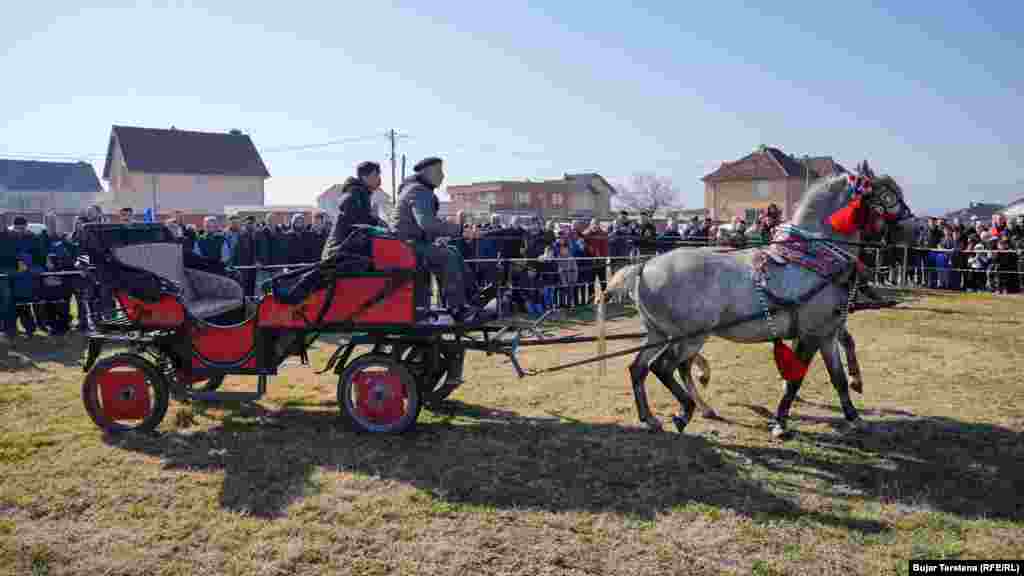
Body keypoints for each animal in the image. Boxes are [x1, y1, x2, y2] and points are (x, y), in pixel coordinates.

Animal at [602, 168, 909, 436]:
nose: (910, 224)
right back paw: (686, 411)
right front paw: (780, 424)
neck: (814, 259)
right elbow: (795, 380)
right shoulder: (811, 334)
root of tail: (644, 266)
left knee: (640, 368)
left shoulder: (826, 334)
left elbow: (838, 379)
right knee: (664, 367)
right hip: (690, 336)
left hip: (659, 333)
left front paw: (854, 416)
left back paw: (652, 417)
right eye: (888, 195)